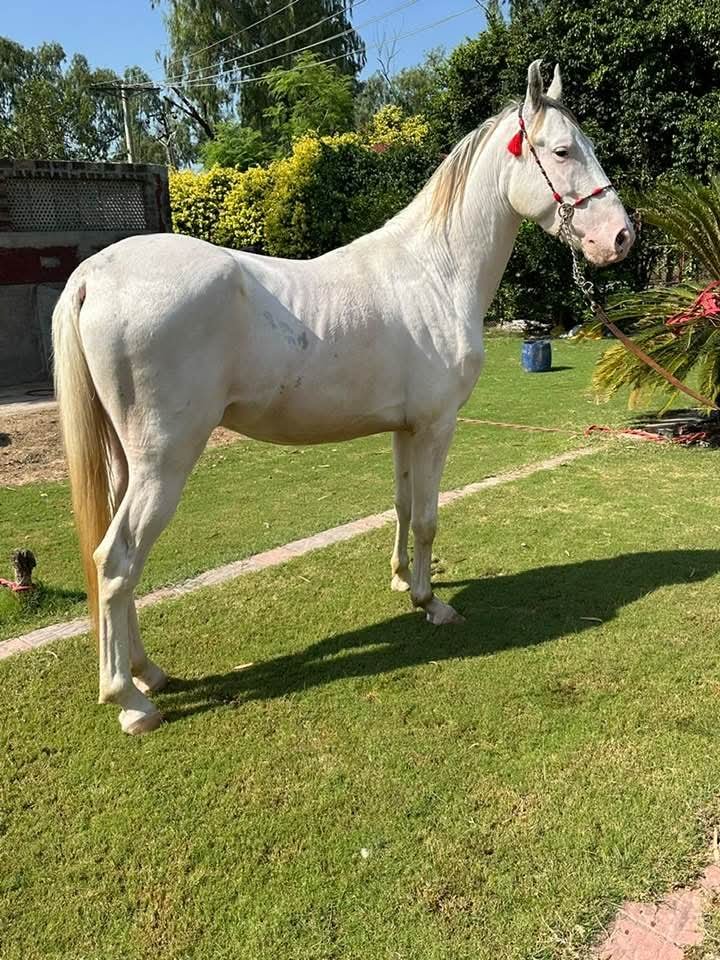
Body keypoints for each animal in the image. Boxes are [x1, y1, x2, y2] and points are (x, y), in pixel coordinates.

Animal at [52, 60, 634, 735]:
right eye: (563, 151)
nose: (621, 238)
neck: (436, 273)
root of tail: (94, 274)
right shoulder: (436, 426)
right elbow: (429, 517)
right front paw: (433, 605)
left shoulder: (404, 429)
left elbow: (404, 508)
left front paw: (404, 583)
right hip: (163, 463)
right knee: (118, 561)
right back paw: (130, 700)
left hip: (127, 462)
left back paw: (150, 673)